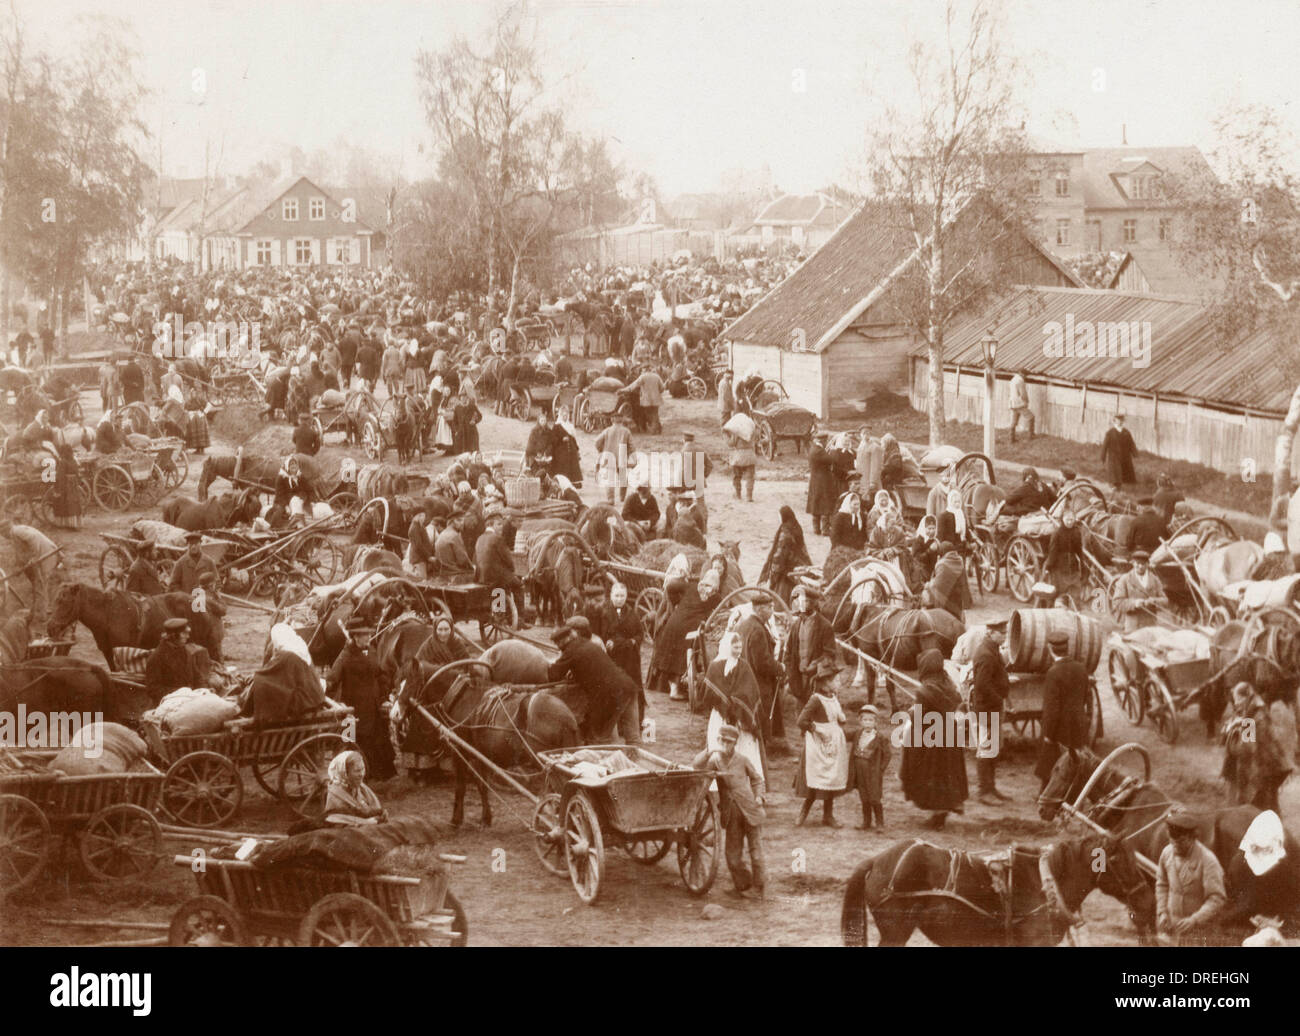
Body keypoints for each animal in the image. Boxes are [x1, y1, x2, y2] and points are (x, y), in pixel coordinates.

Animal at [48, 582, 223, 670]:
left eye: (65, 601)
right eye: (55, 599)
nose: (51, 628)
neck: (108, 613)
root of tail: (207, 604)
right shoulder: (108, 652)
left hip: (210, 645)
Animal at [395, 657, 579, 826]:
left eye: (410, 683)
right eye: (398, 683)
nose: (395, 713)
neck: (461, 697)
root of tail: (566, 719)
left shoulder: (460, 751)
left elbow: (462, 785)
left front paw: (457, 819)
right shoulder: (482, 754)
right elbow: (482, 785)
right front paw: (486, 817)